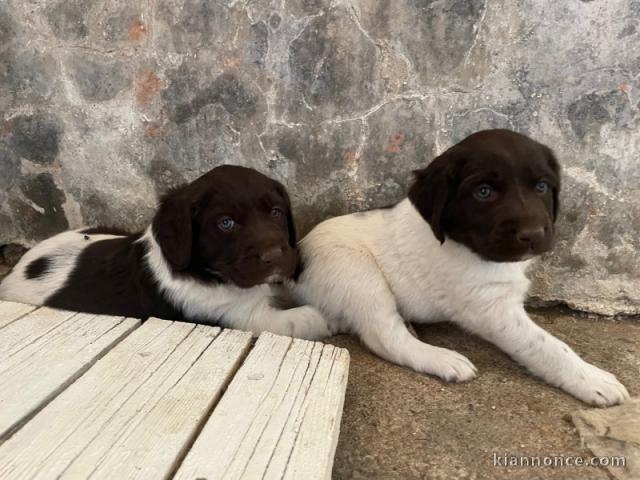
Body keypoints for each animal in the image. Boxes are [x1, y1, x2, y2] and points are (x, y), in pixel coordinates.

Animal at [0, 167, 330, 340]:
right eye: (226, 223)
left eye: (276, 212)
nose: (275, 255)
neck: (208, 275)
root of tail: (17, 268)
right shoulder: (242, 318)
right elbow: (297, 319)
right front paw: (323, 318)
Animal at [294, 129, 632, 406]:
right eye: (483, 192)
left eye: (541, 187)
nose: (534, 235)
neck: (474, 250)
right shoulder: (492, 309)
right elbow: (548, 346)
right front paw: (590, 378)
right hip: (357, 273)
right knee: (384, 336)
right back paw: (441, 358)